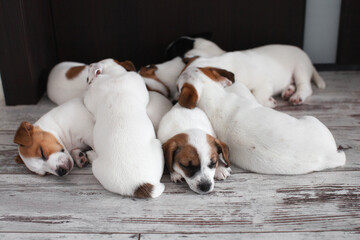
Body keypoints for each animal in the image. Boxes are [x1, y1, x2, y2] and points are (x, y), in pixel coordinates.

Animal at [186, 44, 326, 108]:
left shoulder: (263, 82)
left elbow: (259, 97)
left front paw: (269, 102)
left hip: (300, 68)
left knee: (305, 86)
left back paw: (297, 96)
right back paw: (288, 91)